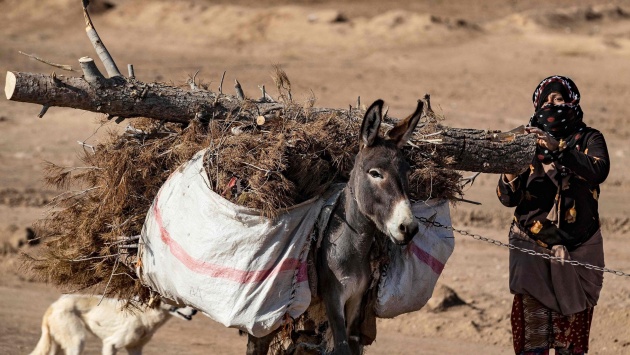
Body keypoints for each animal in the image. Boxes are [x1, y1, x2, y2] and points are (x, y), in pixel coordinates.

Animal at [29, 294, 196, 355]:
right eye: (180, 300)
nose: (195, 311)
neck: (147, 312)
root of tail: (54, 305)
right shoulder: (111, 344)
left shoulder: (135, 349)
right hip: (77, 342)